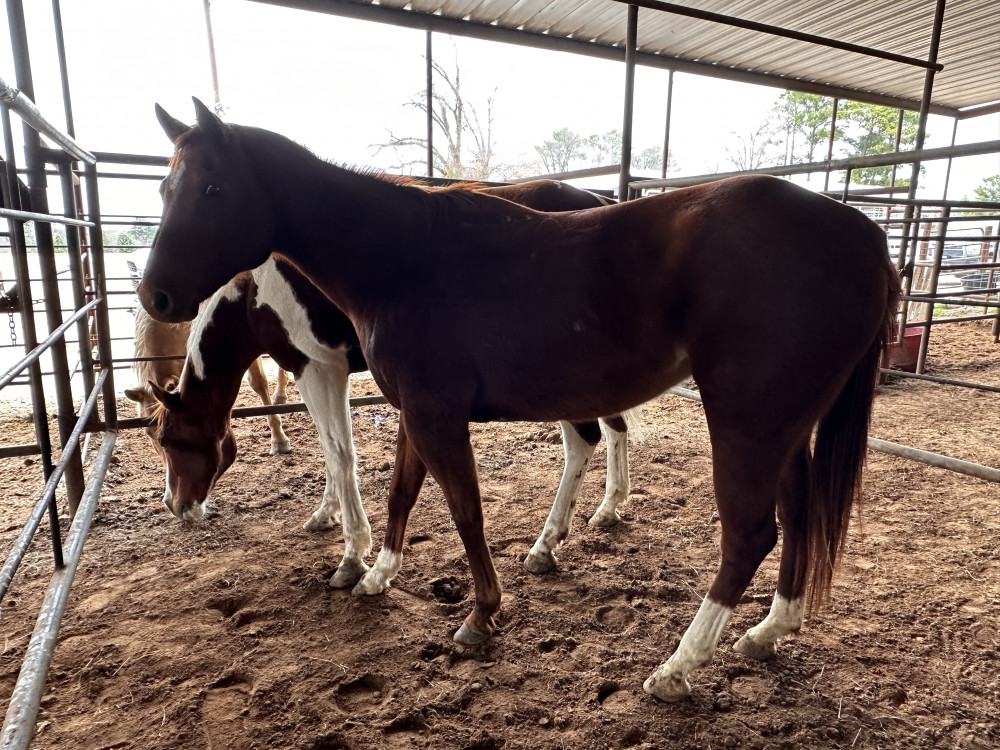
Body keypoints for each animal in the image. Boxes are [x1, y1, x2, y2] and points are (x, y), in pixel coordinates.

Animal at [145, 180, 635, 589]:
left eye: (170, 440)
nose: (175, 506)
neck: (255, 293)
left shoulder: (316, 367)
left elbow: (340, 454)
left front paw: (352, 556)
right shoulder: (325, 371)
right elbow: (332, 453)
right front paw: (326, 514)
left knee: (590, 436)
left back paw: (551, 542)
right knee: (614, 428)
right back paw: (607, 507)